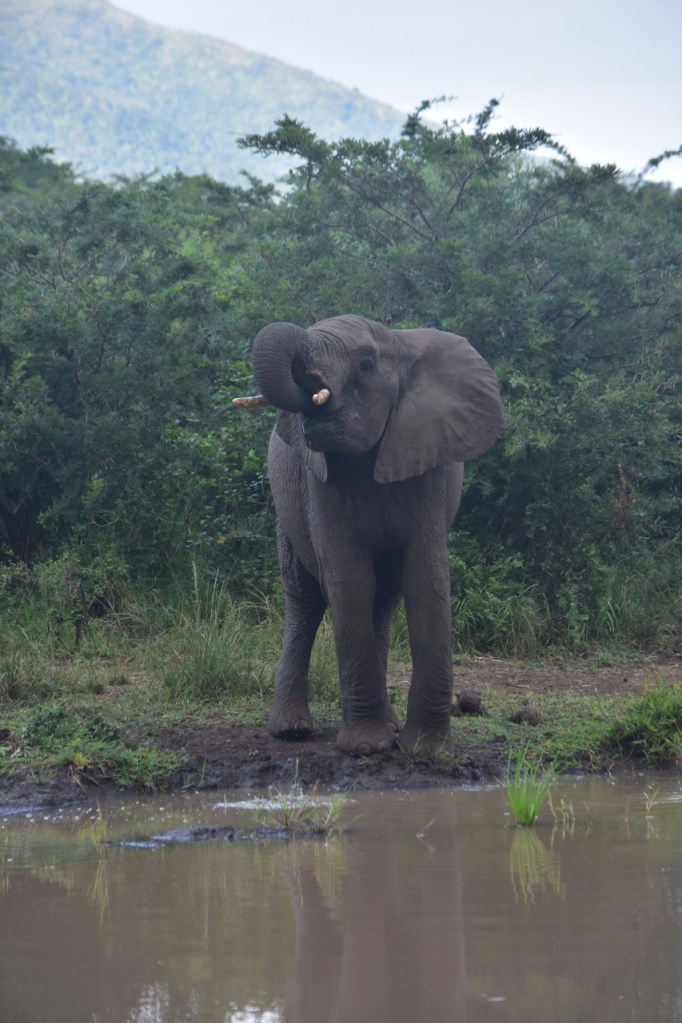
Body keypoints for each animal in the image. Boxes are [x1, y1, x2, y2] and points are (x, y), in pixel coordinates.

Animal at [238, 314, 504, 755]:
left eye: (365, 364)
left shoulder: (429, 466)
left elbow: (426, 577)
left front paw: (425, 750)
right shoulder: (320, 481)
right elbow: (349, 579)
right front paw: (366, 747)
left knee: (384, 601)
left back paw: (391, 726)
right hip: (286, 512)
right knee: (305, 599)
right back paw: (292, 731)